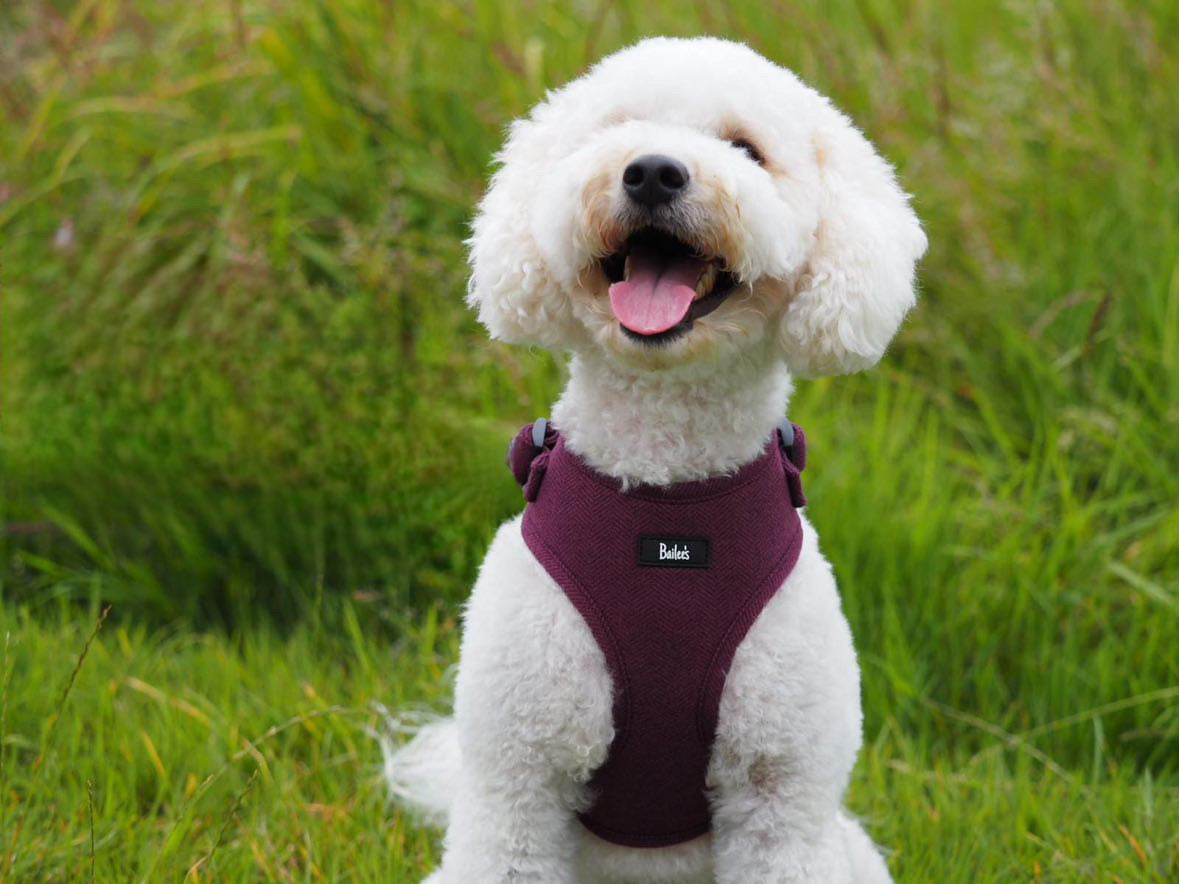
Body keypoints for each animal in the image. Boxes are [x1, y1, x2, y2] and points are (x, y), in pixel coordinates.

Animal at [384, 36, 919, 884]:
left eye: (747, 150)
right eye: (616, 131)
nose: (653, 172)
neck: (666, 494)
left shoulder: (781, 794)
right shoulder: (517, 781)